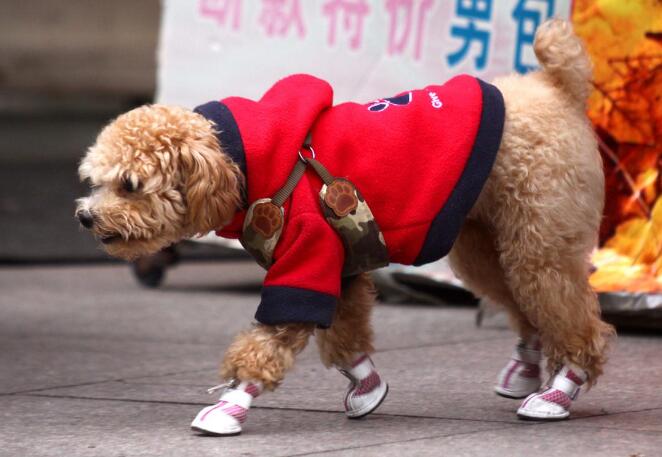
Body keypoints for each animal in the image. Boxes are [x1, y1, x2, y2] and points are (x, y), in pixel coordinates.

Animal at [78, 20, 616, 434]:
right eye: (95, 181)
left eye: (129, 185)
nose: (85, 216)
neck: (243, 164)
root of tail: (557, 87)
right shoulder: (341, 266)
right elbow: (346, 336)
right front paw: (367, 387)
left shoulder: (308, 256)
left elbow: (268, 341)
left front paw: (231, 405)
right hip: (487, 242)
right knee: (525, 305)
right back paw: (527, 367)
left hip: (541, 237)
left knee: (572, 316)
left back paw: (560, 389)